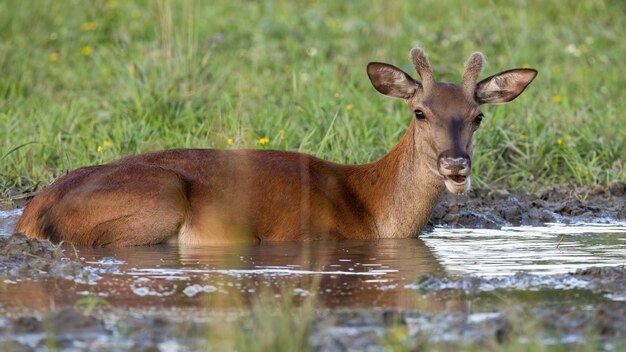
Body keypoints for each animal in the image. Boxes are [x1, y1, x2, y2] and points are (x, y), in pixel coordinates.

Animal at [13, 48, 536, 246]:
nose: (455, 164)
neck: (372, 207)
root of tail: (32, 211)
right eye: (420, 112)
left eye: (478, 115)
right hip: (155, 204)